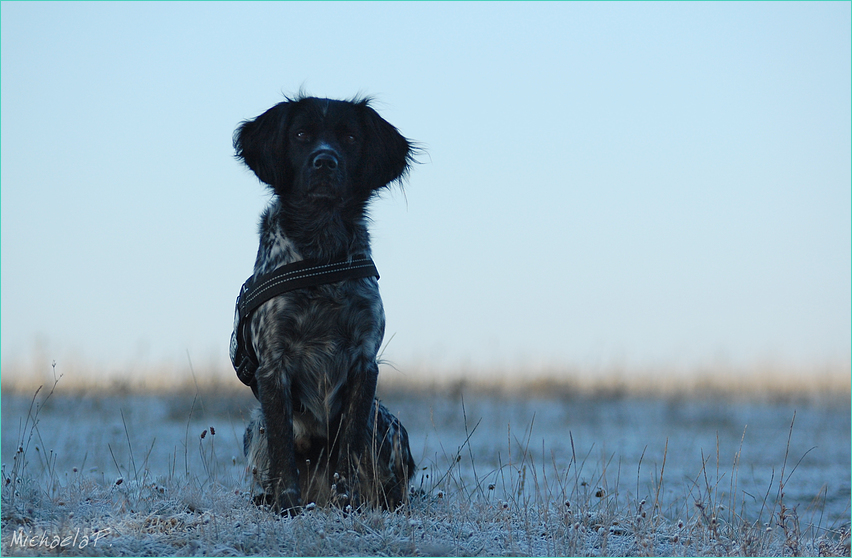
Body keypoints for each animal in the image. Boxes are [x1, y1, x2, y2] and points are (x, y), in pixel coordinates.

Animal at [231, 94, 418, 516]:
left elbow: (348, 450)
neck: (321, 252)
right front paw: (286, 508)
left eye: (349, 137)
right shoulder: (273, 364)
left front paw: (347, 505)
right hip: (254, 426)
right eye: (301, 135)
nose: (325, 161)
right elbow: (283, 450)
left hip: (387, 423)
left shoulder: (364, 362)